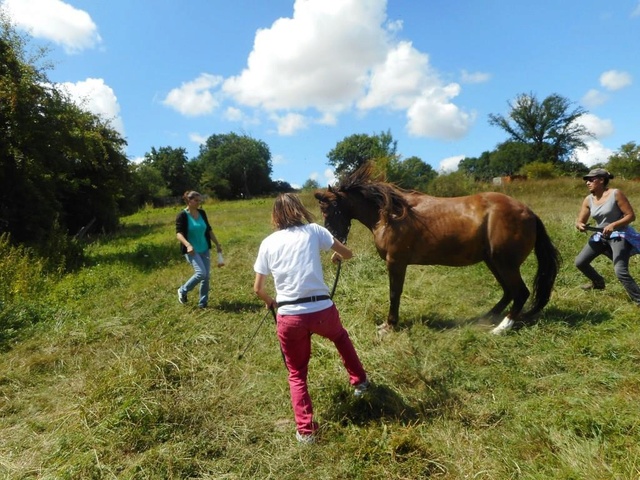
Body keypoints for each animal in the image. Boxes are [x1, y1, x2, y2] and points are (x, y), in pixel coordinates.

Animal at [316, 164, 560, 334]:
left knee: (520, 292)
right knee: (509, 291)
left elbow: (394, 293)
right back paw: (484, 318)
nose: (334, 240)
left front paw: (389, 325)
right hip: (493, 262)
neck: (390, 214)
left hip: (505, 263)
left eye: (332, 208)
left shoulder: (396, 262)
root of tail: (529, 213)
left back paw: (500, 328)